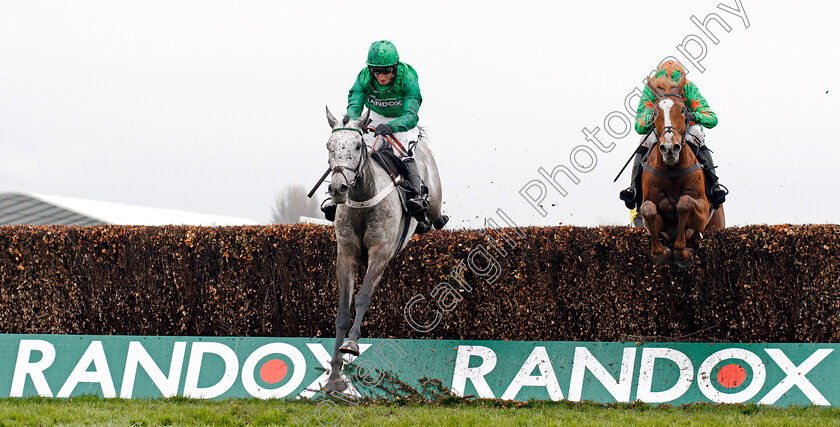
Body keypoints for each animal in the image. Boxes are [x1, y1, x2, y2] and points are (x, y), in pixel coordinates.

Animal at [322, 107, 446, 394]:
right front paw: (335, 376)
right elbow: (342, 311)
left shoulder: (380, 252)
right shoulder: (346, 255)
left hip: (434, 201)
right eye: (329, 146)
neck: (363, 199)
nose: (338, 188)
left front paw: (352, 345)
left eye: (357, 146)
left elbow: (363, 297)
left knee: (437, 219)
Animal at [640, 75, 724, 266]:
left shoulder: (702, 210)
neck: (672, 171)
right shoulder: (650, 210)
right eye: (654, 113)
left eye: (684, 110)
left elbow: (685, 203)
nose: (670, 148)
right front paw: (661, 253)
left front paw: (681, 252)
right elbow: (647, 209)